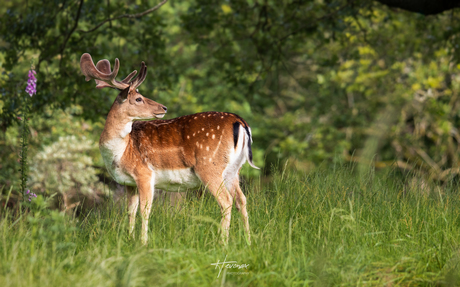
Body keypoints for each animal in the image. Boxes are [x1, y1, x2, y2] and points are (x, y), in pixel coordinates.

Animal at [80, 53, 258, 245]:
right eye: (138, 99)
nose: (163, 107)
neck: (121, 152)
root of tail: (240, 122)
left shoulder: (144, 173)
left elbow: (144, 210)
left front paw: (143, 243)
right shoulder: (129, 183)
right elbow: (130, 211)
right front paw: (130, 238)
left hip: (209, 166)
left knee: (226, 201)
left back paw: (222, 243)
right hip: (233, 170)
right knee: (241, 199)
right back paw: (248, 241)